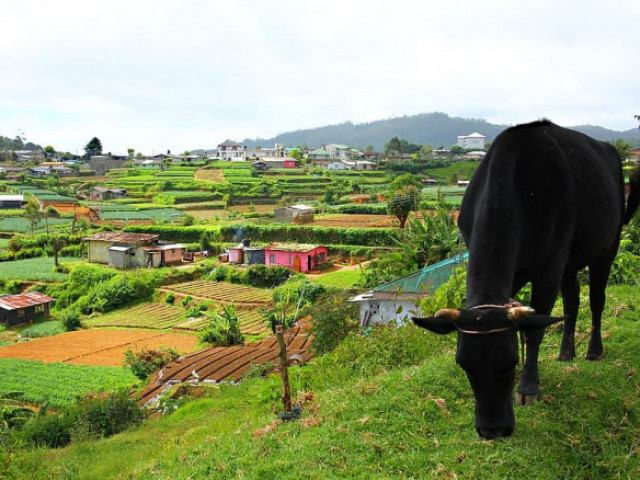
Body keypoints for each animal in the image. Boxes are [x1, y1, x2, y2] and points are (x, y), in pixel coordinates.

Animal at [412, 120, 636, 438]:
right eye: (464, 365)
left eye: (510, 363)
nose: (493, 430)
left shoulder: (549, 269)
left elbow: (535, 329)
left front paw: (529, 387)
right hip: (570, 262)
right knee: (572, 302)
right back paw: (566, 352)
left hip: (608, 245)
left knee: (595, 300)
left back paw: (594, 350)